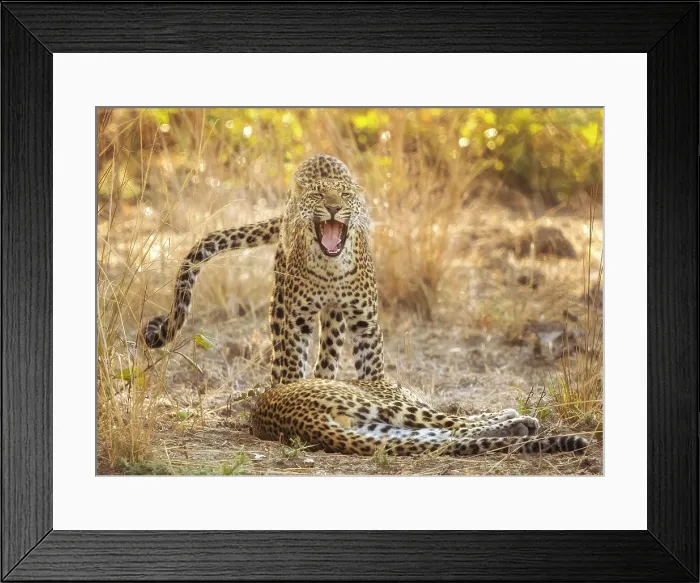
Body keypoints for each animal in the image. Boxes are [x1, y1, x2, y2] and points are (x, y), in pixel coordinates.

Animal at [141, 154, 384, 385]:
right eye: (318, 195)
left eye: (345, 195)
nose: (333, 208)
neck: (330, 268)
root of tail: (320, 155)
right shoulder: (297, 321)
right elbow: (293, 364)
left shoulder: (366, 324)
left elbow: (373, 369)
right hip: (279, 303)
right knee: (279, 357)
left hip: (334, 317)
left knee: (327, 356)